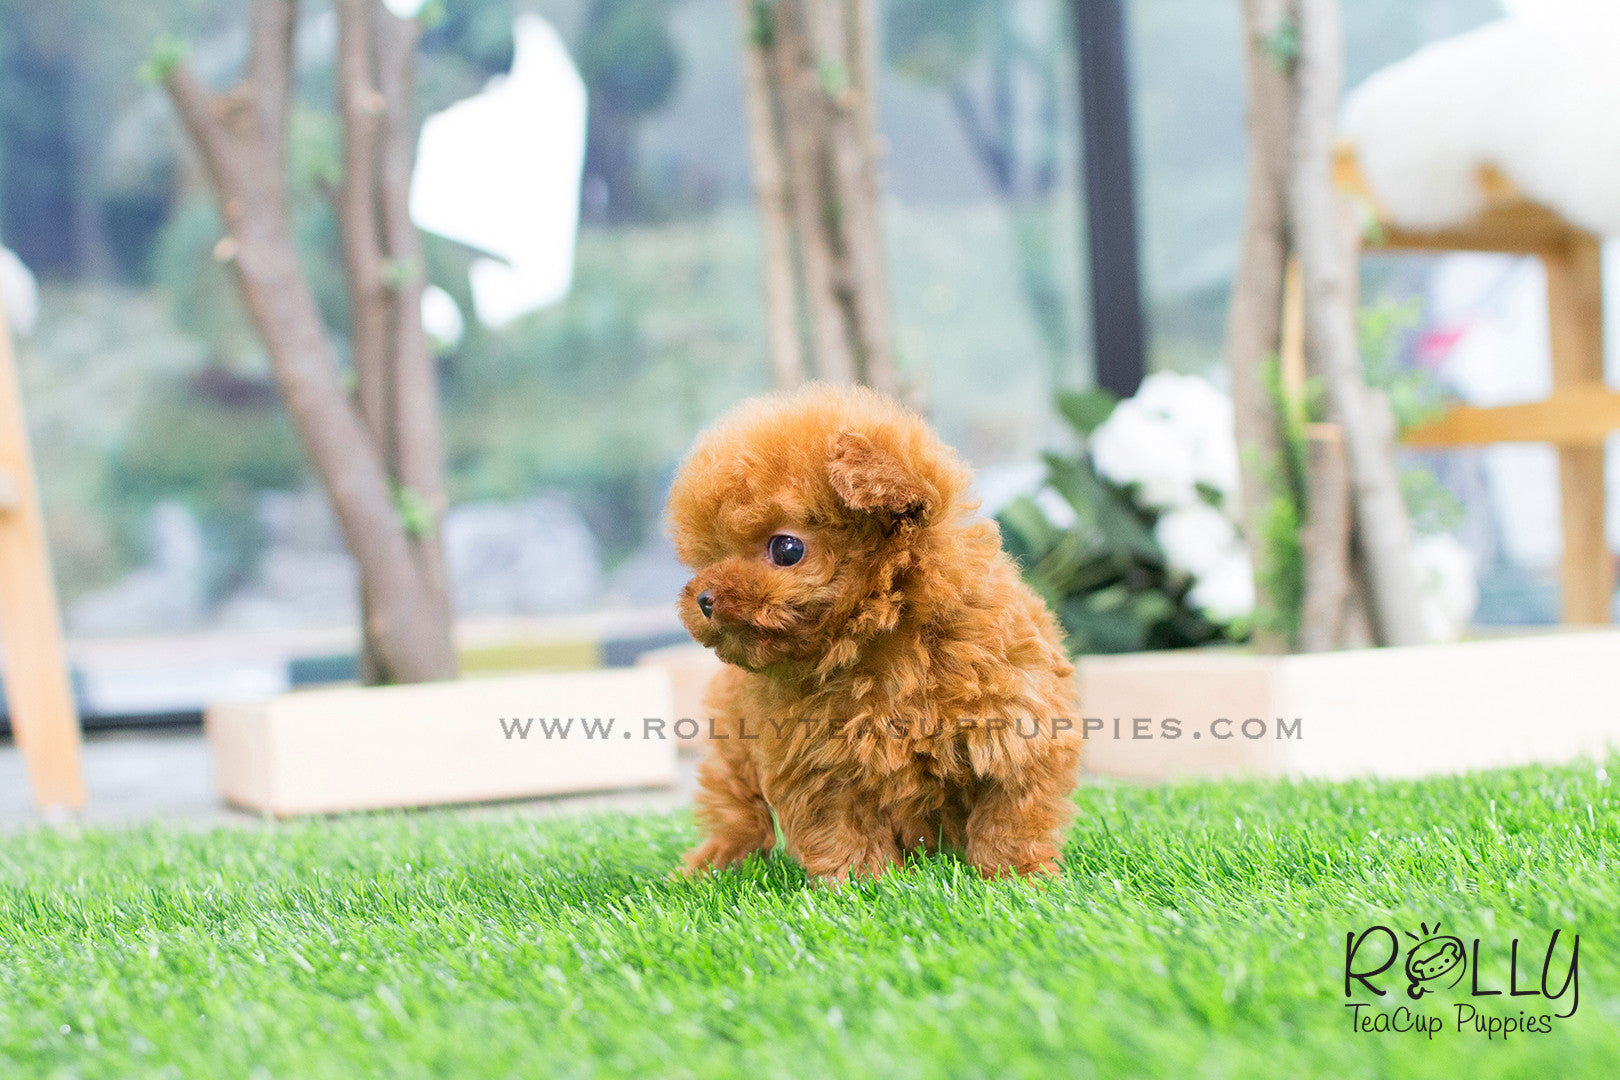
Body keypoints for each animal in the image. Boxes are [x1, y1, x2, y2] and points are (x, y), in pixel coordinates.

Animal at [664, 383, 1082, 880]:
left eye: (787, 549)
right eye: (710, 556)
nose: (704, 599)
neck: (881, 640)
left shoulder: (1016, 729)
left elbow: (1010, 815)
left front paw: (1018, 875)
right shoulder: (819, 763)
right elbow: (845, 830)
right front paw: (864, 882)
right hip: (733, 743)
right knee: (736, 808)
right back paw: (714, 865)